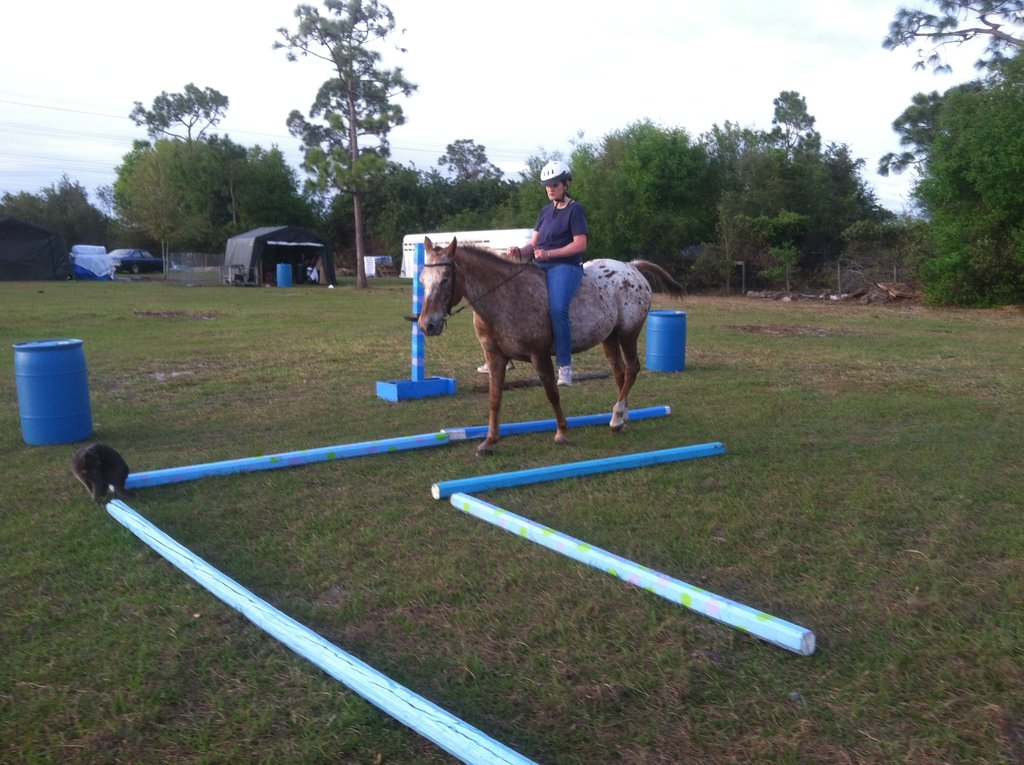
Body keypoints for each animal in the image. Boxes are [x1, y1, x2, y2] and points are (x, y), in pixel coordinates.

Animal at [418, 237, 685, 456]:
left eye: (445, 279)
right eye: (422, 280)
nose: (427, 325)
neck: (506, 297)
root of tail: (631, 267)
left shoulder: (540, 355)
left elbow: (552, 393)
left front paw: (561, 432)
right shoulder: (495, 357)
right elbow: (494, 399)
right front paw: (489, 441)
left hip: (628, 334)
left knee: (631, 369)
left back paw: (617, 417)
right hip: (609, 338)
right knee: (620, 374)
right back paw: (622, 417)